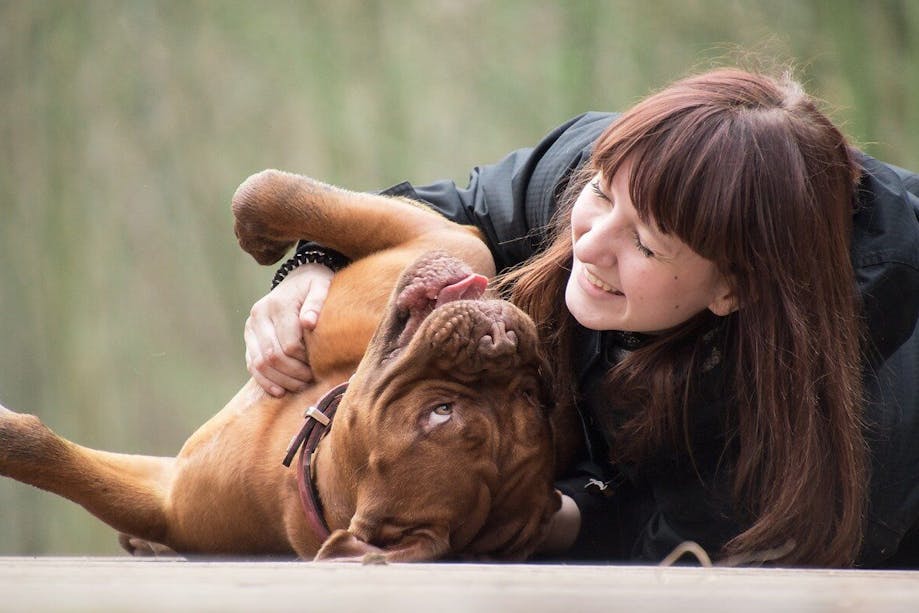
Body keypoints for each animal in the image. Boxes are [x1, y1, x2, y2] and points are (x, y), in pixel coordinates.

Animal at [0, 170, 576, 560]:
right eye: (532, 398)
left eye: (440, 413)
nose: (501, 342)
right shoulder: (444, 238)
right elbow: (266, 190)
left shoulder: (166, 501)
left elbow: (46, 453)